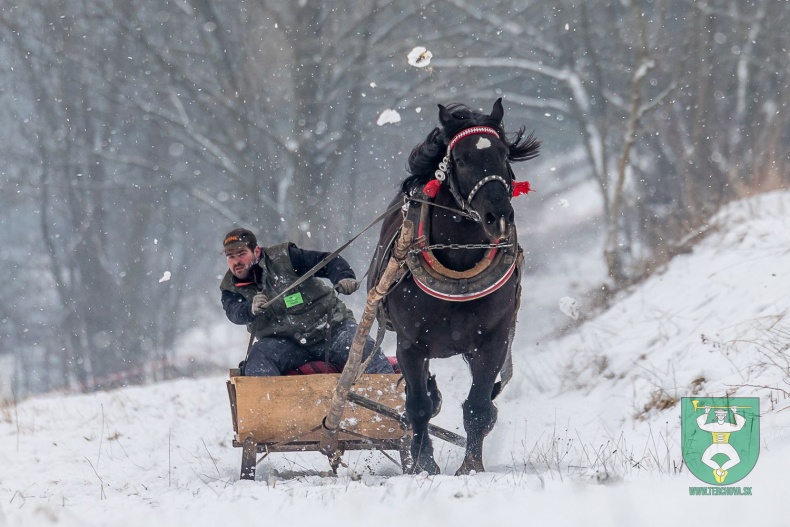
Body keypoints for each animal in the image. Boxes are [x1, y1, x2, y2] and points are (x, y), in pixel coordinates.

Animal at [370, 98, 540, 474]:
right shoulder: (410, 346)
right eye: (461, 159)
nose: (498, 215)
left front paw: (471, 466)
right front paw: (424, 464)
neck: (460, 263)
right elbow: (417, 405)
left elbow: (478, 407)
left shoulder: (493, 342)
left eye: (504, 155)